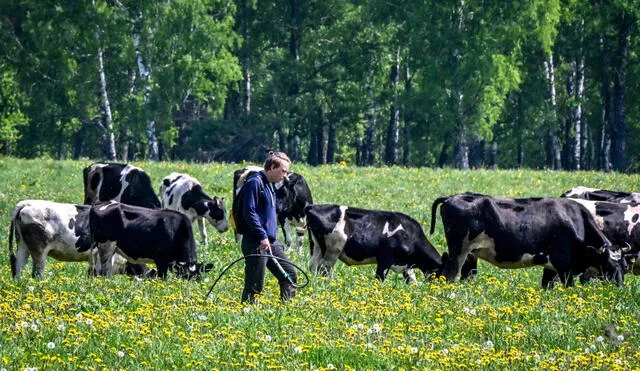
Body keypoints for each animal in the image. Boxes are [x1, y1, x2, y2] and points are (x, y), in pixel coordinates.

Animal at [304, 205, 440, 284]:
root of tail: (313, 206)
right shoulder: (385, 259)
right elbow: (379, 279)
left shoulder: (406, 265)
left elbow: (412, 281)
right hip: (332, 250)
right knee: (324, 270)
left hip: (317, 248)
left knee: (313, 267)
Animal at [430, 193, 624, 290]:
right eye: (608, 265)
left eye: (624, 266)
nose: (619, 288)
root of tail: (451, 197)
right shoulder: (564, 265)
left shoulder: (550, 266)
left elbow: (546, 286)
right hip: (459, 251)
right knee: (448, 276)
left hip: (468, 254)